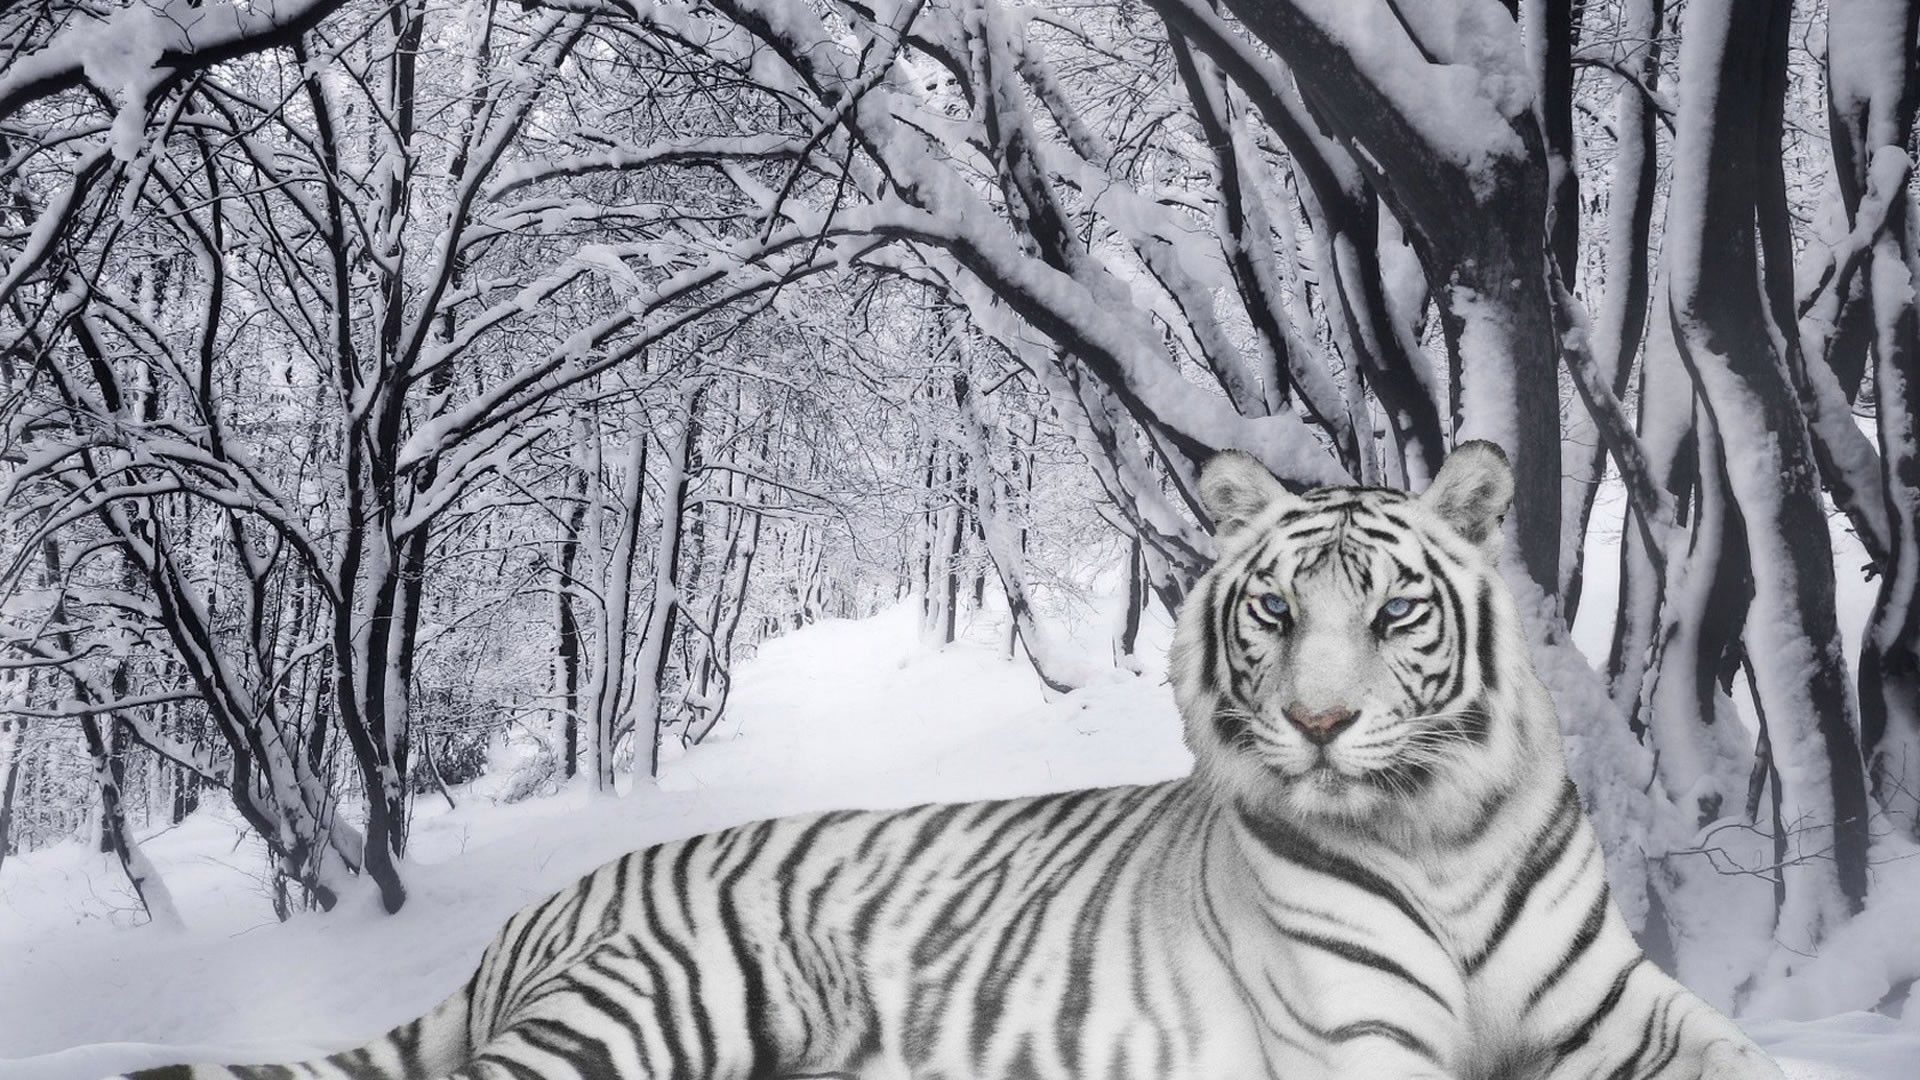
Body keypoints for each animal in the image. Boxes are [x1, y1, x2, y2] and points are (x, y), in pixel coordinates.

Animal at [127, 442, 1785, 1080]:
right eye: (1273, 611)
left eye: (1392, 612)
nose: (1318, 725)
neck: (1435, 834)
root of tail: (535, 918)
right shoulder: (1366, 1048)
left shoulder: (1616, 1010)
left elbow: (1765, 1059)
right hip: (658, 1005)